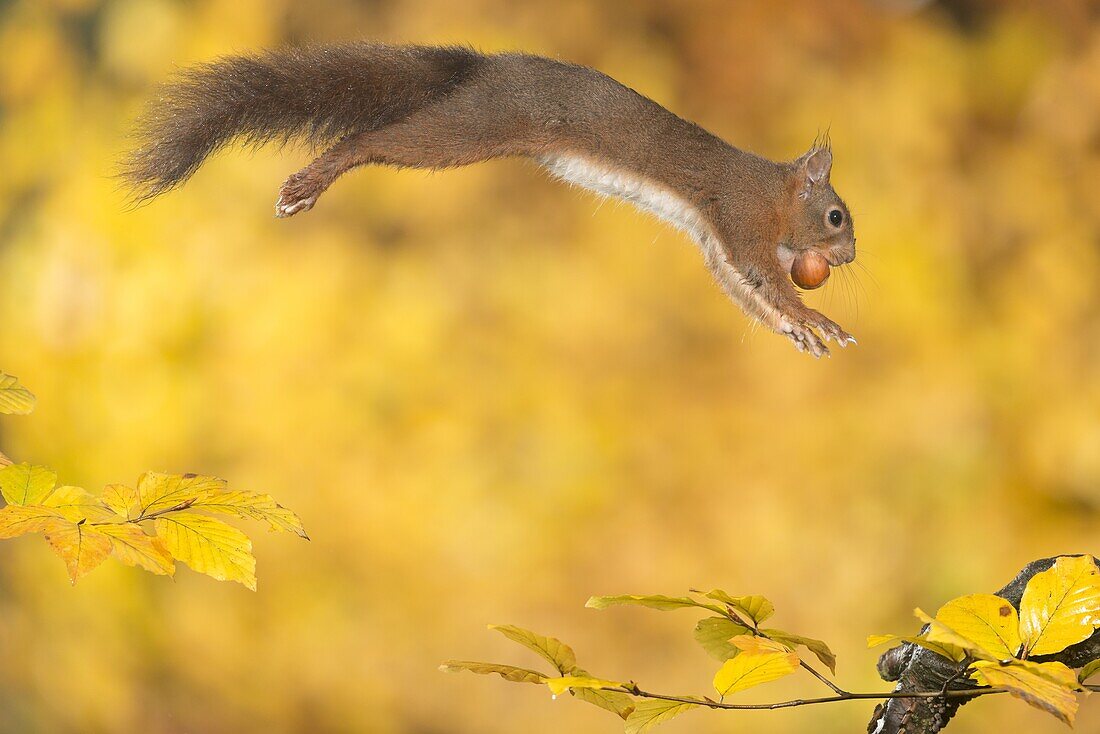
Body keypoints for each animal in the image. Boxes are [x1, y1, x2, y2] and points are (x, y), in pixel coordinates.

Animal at [122, 43, 858, 358]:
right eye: (836, 216)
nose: (849, 256)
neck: (773, 192)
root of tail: (487, 66)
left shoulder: (714, 243)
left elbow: (745, 294)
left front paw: (798, 332)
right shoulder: (738, 216)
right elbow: (766, 279)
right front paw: (816, 318)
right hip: (470, 128)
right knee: (370, 139)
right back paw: (313, 179)